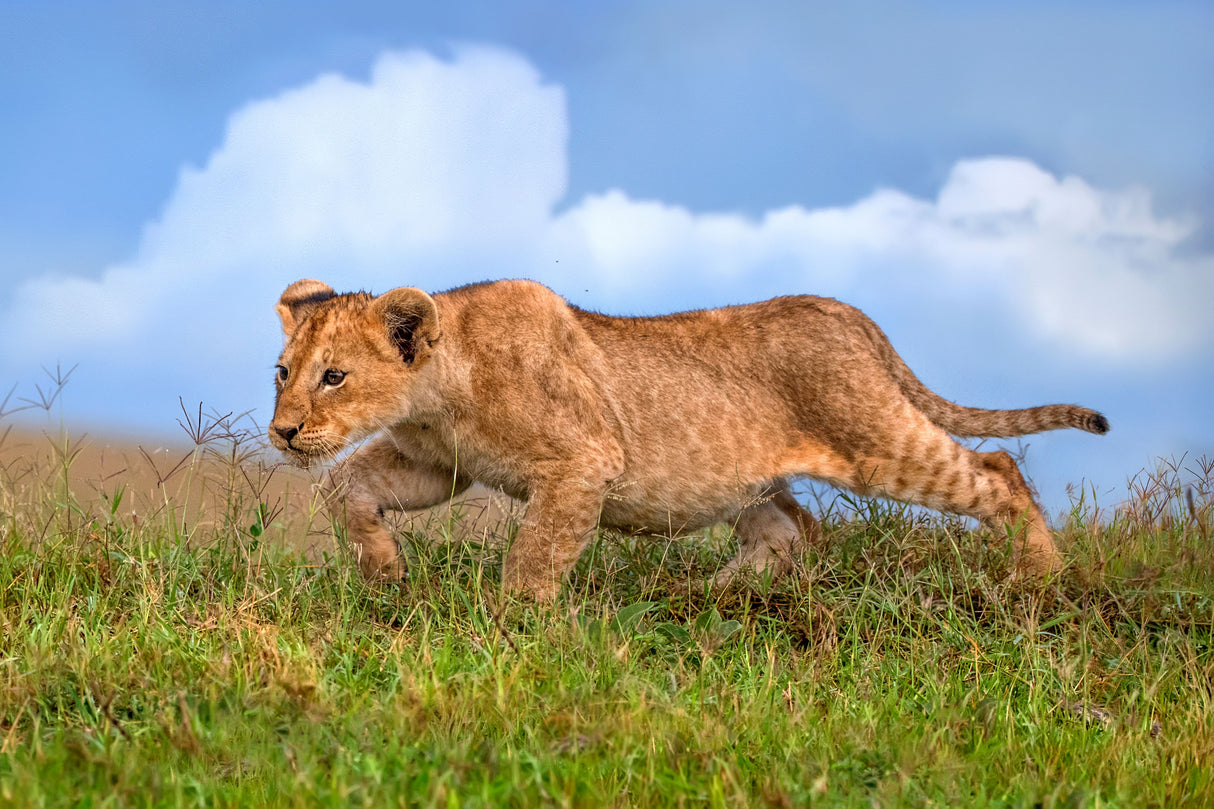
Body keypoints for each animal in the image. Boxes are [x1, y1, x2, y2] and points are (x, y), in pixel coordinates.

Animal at [269, 278, 1108, 601]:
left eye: (334, 376)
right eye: (283, 372)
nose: (281, 432)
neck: (440, 388)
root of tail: (853, 315)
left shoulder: (584, 460)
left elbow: (536, 553)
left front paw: (513, 625)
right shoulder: (436, 464)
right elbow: (350, 485)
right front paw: (383, 569)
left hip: (879, 443)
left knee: (997, 470)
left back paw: (1040, 578)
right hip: (746, 480)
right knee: (792, 528)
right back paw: (705, 593)